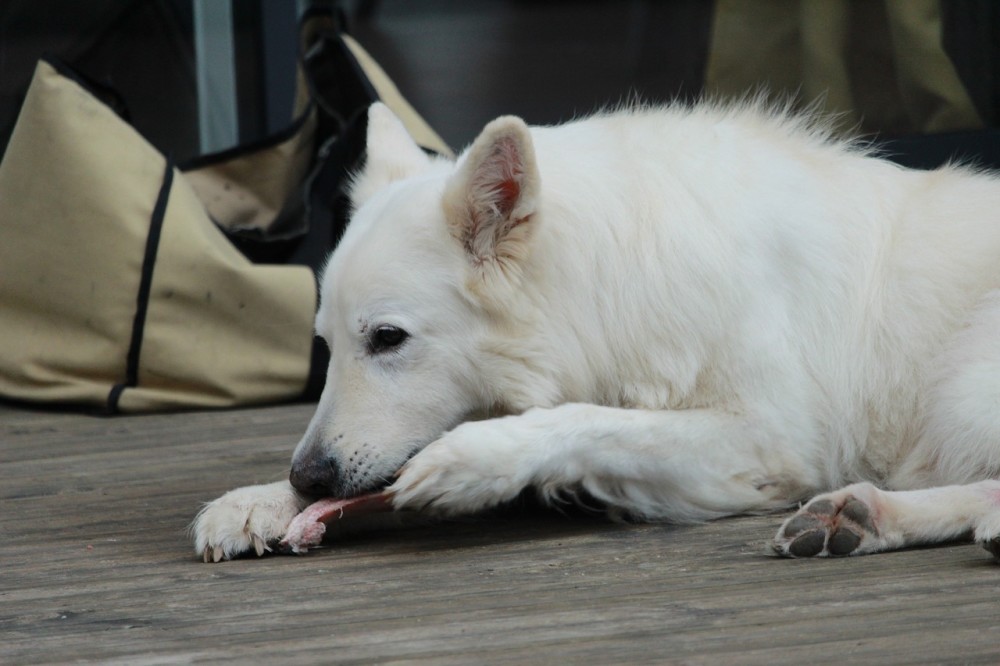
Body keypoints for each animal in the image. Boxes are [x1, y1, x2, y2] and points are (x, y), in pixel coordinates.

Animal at [193, 101, 1000, 560]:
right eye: (327, 347)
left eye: (388, 339)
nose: (308, 476)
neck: (608, 281)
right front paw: (261, 501)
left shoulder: (769, 440)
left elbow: (590, 420)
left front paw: (476, 460)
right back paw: (860, 515)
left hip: (962, 386)